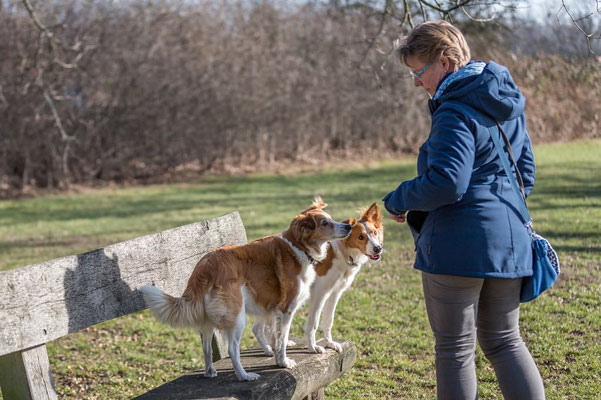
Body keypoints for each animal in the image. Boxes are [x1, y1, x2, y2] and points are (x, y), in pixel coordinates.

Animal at [138, 198, 350, 382]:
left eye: (331, 218)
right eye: (325, 223)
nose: (348, 226)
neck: (298, 246)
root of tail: (205, 265)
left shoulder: (273, 307)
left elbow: (275, 335)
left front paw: (275, 355)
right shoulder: (285, 309)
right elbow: (283, 338)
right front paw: (284, 361)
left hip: (208, 320)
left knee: (206, 347)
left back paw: (210, 371)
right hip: (237, 316)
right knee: (233, 349)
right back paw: (243, 375)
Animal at [251, 205, 382, 354]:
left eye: (374, 233)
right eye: (361, 237)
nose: (378, 248)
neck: (342, 253)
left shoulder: (335, 293)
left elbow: (328, 320)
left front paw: (330, 343)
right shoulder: (319, 293)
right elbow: (313, 323)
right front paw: (312, 346)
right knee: (257, 328)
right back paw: (269, 349)